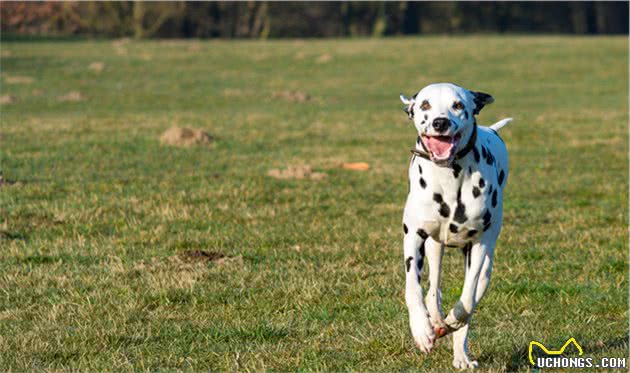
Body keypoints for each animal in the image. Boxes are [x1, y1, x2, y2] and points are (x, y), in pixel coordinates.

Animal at [400, 83, 512, 368]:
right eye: (425, 105)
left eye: (458, 105)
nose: (440, 122)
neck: (449, 178)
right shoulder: (413, 237)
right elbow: (413, 289)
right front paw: (421, 330)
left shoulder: (479, 246)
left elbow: (466, 301)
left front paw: (451, 322)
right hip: (434, 248)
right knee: (433, 291)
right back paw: (434, 320)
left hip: (487, 266)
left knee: (469, 304)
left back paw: (460, 353)